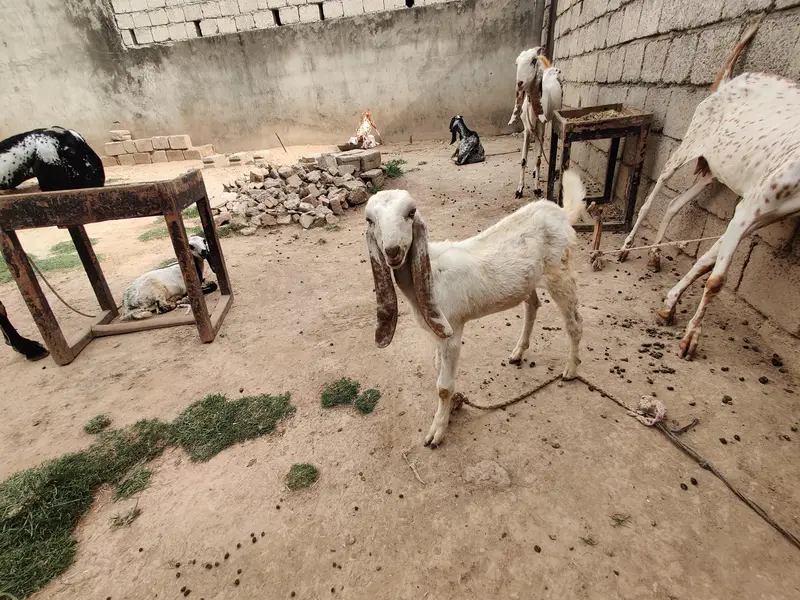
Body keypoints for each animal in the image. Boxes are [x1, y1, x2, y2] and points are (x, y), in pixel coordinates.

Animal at [365, 170, 587, 447]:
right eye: (370, 220)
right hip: (528, 280)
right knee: (533, 305)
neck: (430, 275)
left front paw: (437, 431)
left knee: (574, 323)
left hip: (560, 272)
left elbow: (443, 387)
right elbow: (438, 368)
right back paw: (518, 352)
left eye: (411, 212)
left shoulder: (452, 330)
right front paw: (450, 407)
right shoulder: (438, 330)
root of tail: (561, 213)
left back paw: (570, 369)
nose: (392, 251)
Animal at [508, 49, 562, 199]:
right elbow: (523, 160)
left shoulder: (541, 127)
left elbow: (538, 159)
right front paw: (519, 190)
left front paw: (537, 189)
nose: (519, 83)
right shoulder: (527, 130)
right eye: (516, 63)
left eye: (533, 61)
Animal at [617, 20, 800, 359]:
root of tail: (727, 81)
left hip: (714, 171)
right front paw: (691, 336)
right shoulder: (753, 206)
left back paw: (654, 254)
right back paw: (626, 246)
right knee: (653, 197)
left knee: (674, 203)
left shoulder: (761, 214)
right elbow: (716, 278)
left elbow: (706, 262)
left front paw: (670, 305)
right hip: (688, 146)